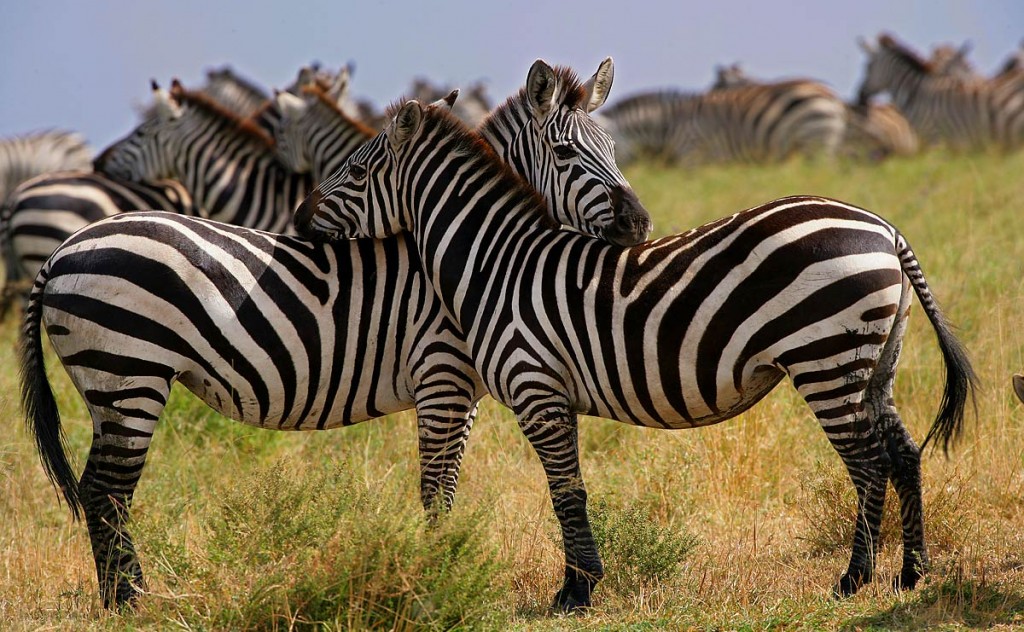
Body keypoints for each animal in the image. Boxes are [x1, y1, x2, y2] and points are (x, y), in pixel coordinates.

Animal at [22, 59, 655, 606]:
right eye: (567, 153)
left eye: (613, 148)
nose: (640, 224)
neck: (469, 248)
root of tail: (62, 251)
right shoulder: (442, 374)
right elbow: (436, 490)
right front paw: (437, 579)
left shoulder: (463, 389)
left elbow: (447, 487)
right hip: (128, 373)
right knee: (105, 491)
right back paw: (130, 600)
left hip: (113, 382)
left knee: (103, 490)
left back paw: (126, 596)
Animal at [294, 99, 974, 610]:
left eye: (356, 172)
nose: (300, 218)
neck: (497, 265)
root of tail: (883, 227)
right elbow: (567, 487)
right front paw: (580, 584)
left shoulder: (537, 388)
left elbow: (566, 489)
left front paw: (576, 592)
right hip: (874, 362)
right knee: (903, 453)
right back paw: (911, 573)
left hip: (826, 359)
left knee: (868, 464)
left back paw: (853, 580)